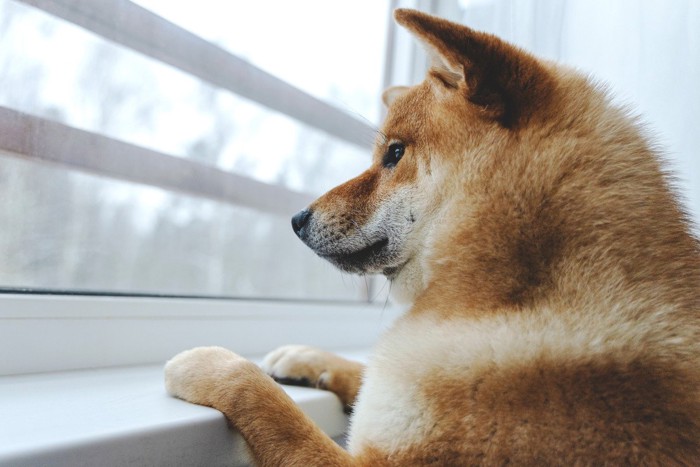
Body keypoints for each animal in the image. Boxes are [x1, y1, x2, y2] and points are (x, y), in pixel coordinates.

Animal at [165, 9, 700, 466]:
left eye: (395, 154)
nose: (296, 219)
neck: (522, 291)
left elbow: (269, 405)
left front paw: (212, 364)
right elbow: (362, 374)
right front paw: (307, 356)